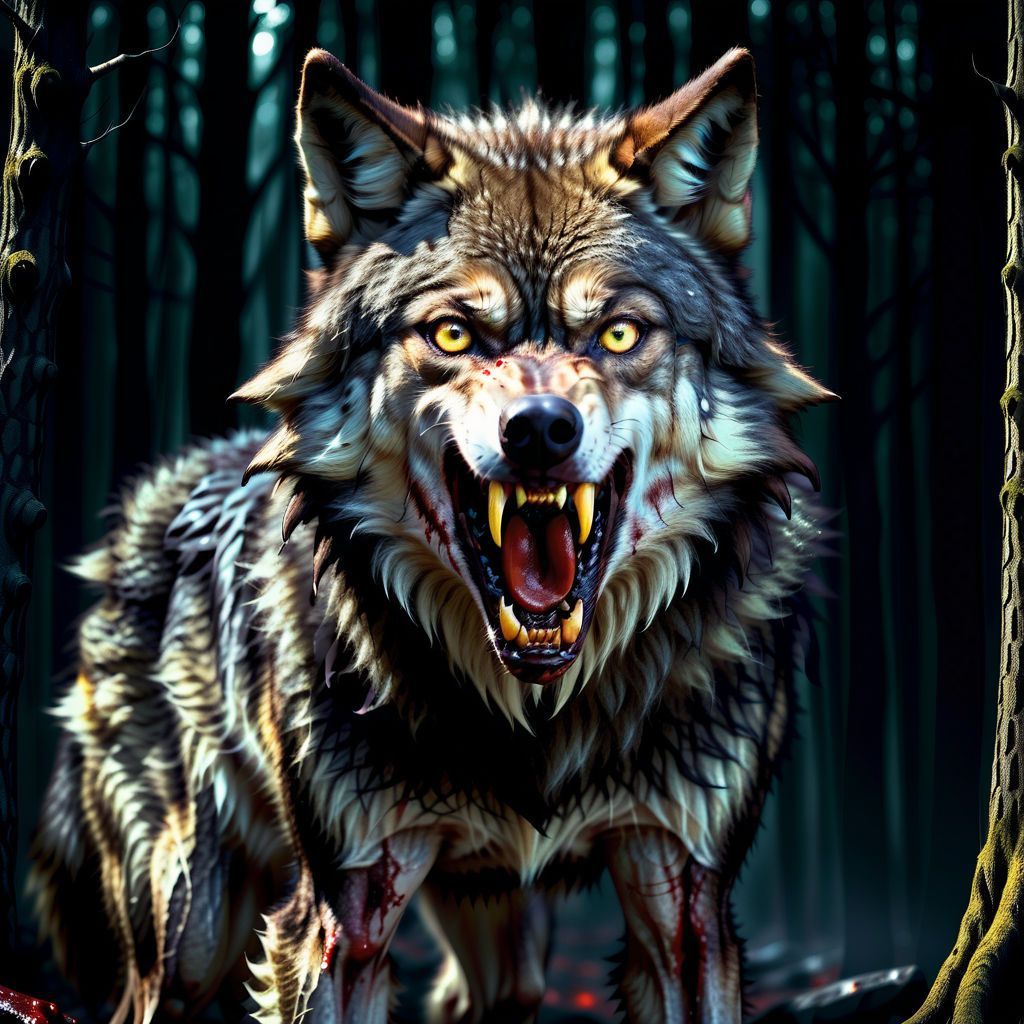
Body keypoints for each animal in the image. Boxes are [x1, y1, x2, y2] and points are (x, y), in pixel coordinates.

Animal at [29, 46, 829, 1024]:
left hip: (500, 946)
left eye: (617, 333)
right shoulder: (343, 907)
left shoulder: (687, 895)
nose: (539, 430)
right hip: (190, 935)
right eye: (451, 333)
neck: (536, 724)